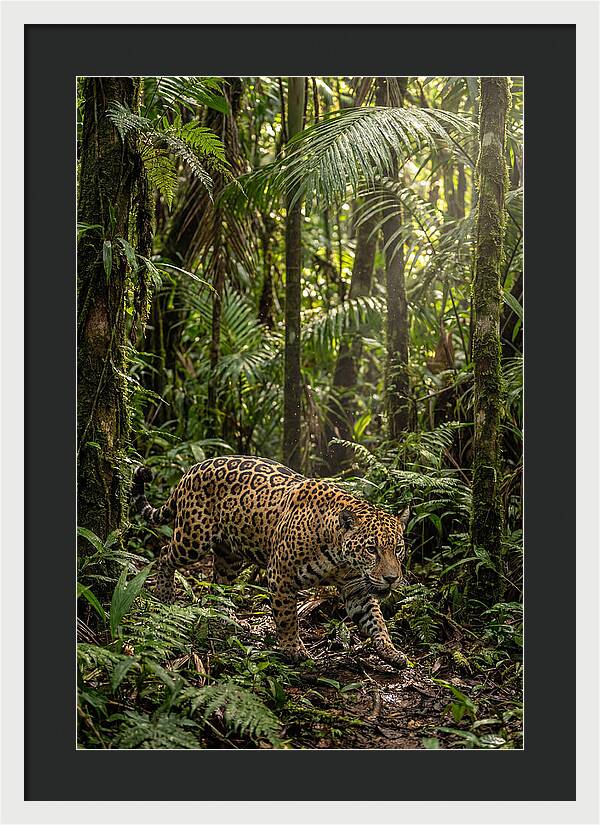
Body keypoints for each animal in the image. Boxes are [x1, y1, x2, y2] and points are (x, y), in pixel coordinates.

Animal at [132, 455, 410, 668]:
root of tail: (191, 469)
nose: (392, 579)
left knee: (219, 583)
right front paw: (293, 650)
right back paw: (165, 593)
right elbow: (287, 617)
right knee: (164, 553)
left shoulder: (356, 588)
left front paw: (391, 651)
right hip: (192, 539)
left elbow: (375, 620)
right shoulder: (281, 577)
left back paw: (225, 617)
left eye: (397, 549)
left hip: (229, 556)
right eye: (372, 549)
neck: (339, 557)